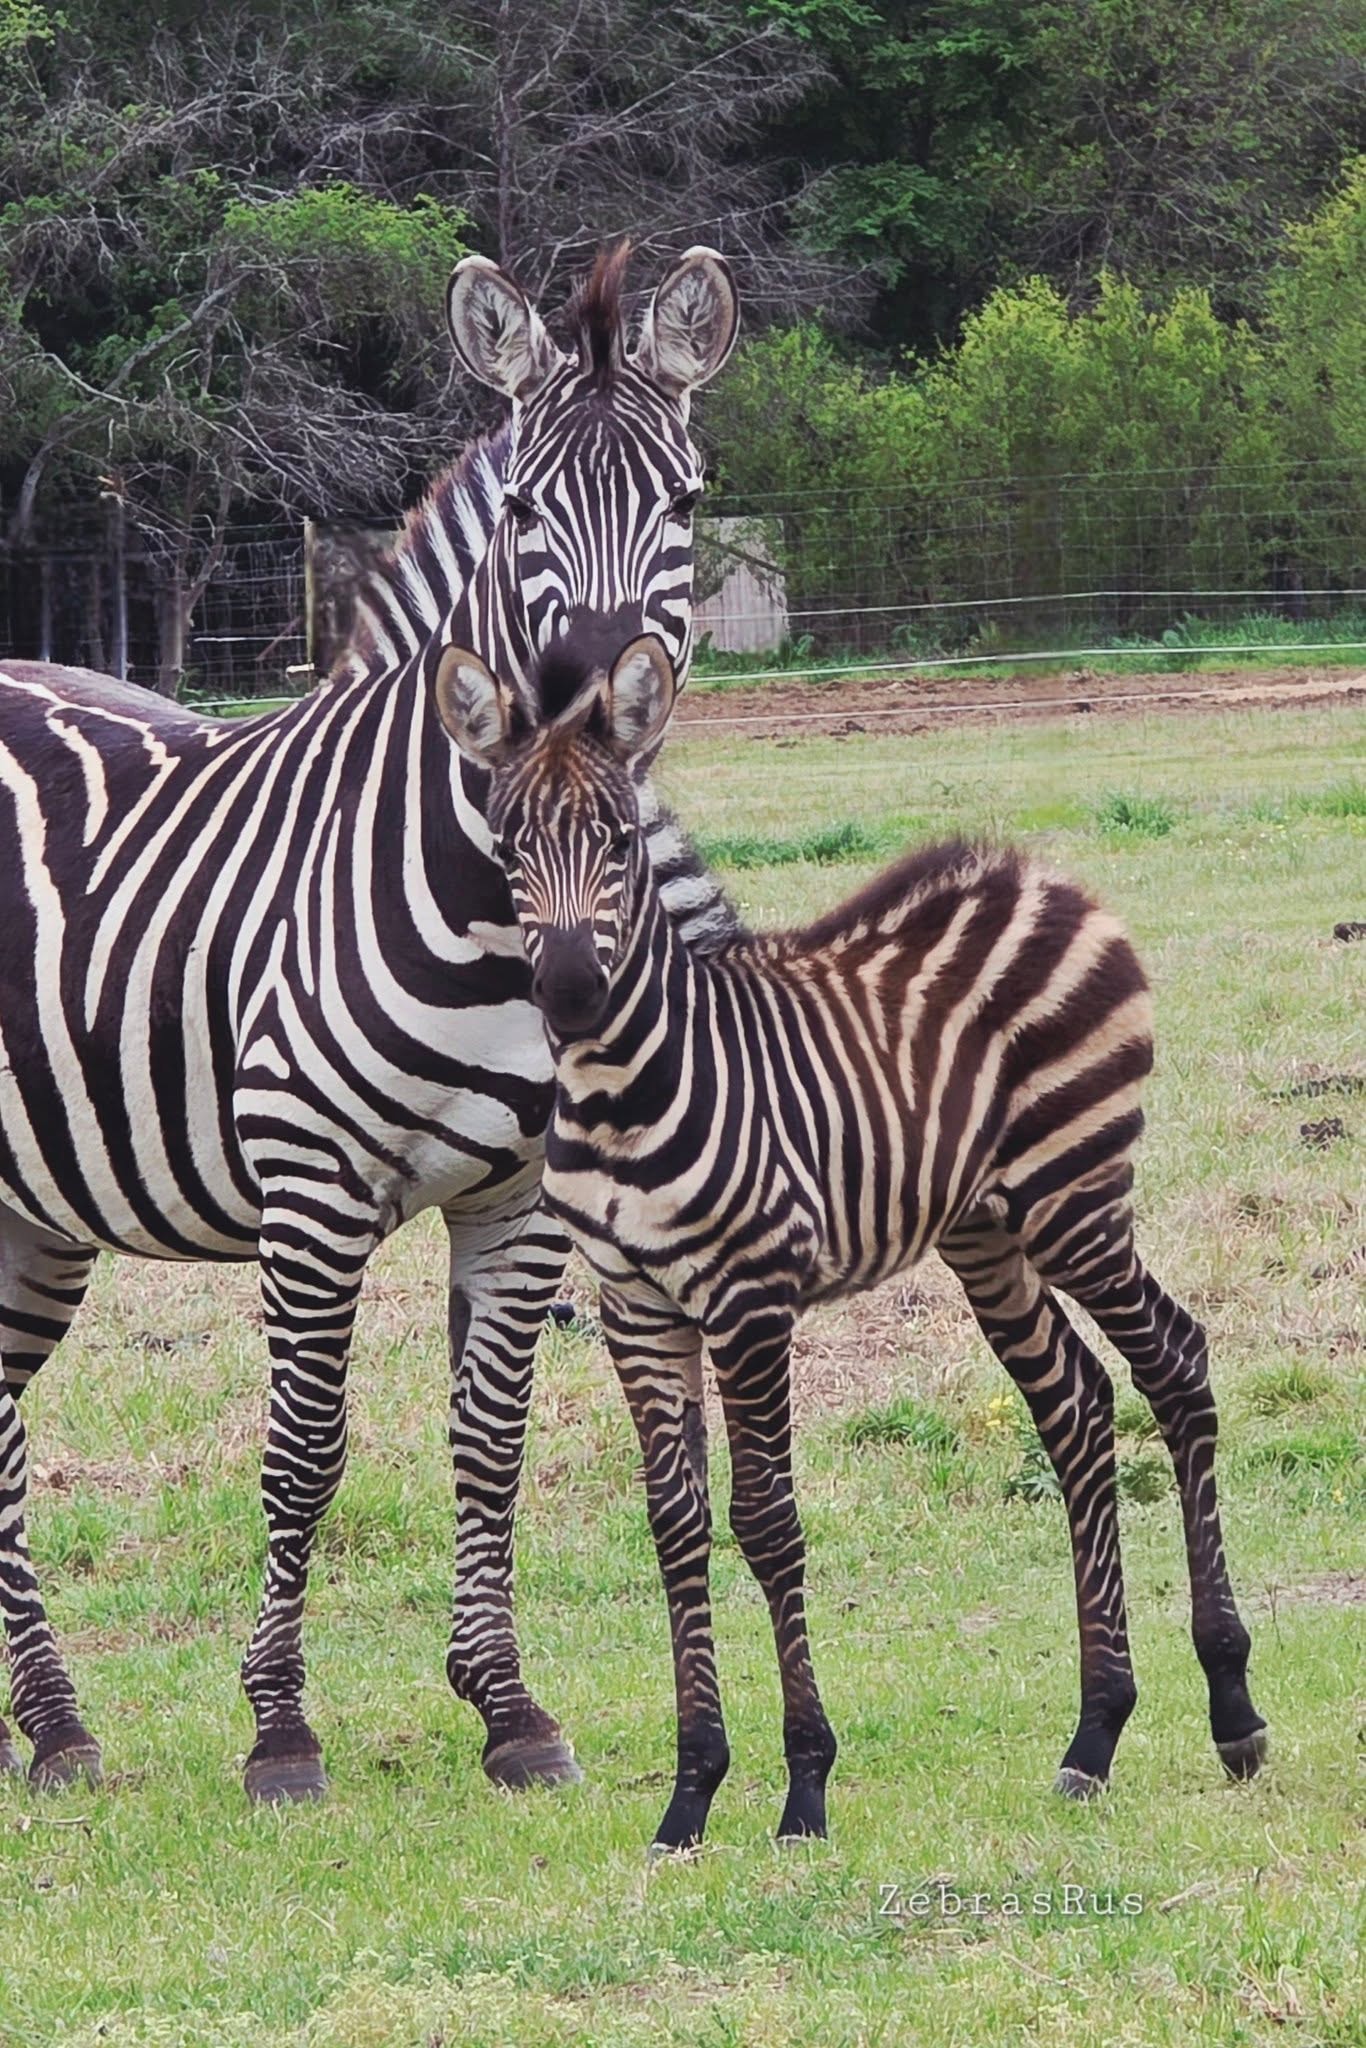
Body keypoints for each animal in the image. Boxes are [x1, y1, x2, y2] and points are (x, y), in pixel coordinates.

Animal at [0, 244, 739, 1801]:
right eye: (522, 506)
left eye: (687, 499)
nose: (595, 699)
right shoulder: (312, 1187)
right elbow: (305, 1450)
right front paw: (280, 1731)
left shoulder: (518, 1198)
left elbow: (488, 1433)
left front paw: (507, 1708)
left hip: (31, 1212)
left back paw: (54, 1723)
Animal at [435, 632, 1269, 1853]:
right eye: (507, 846)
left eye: (621, 840)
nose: (571, 991)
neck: (623, 1088)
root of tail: (1040, 875)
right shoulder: (638, 1307)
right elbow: (675, 1525)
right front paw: (690, 1794)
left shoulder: (749, 1299)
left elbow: (767, 1521)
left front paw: (803, 1787)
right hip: (986, 1230)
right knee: (1072, 1404)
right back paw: (1093, 1735)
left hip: (1075, 1196)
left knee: (1172, 1360)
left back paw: (1232, 1709)